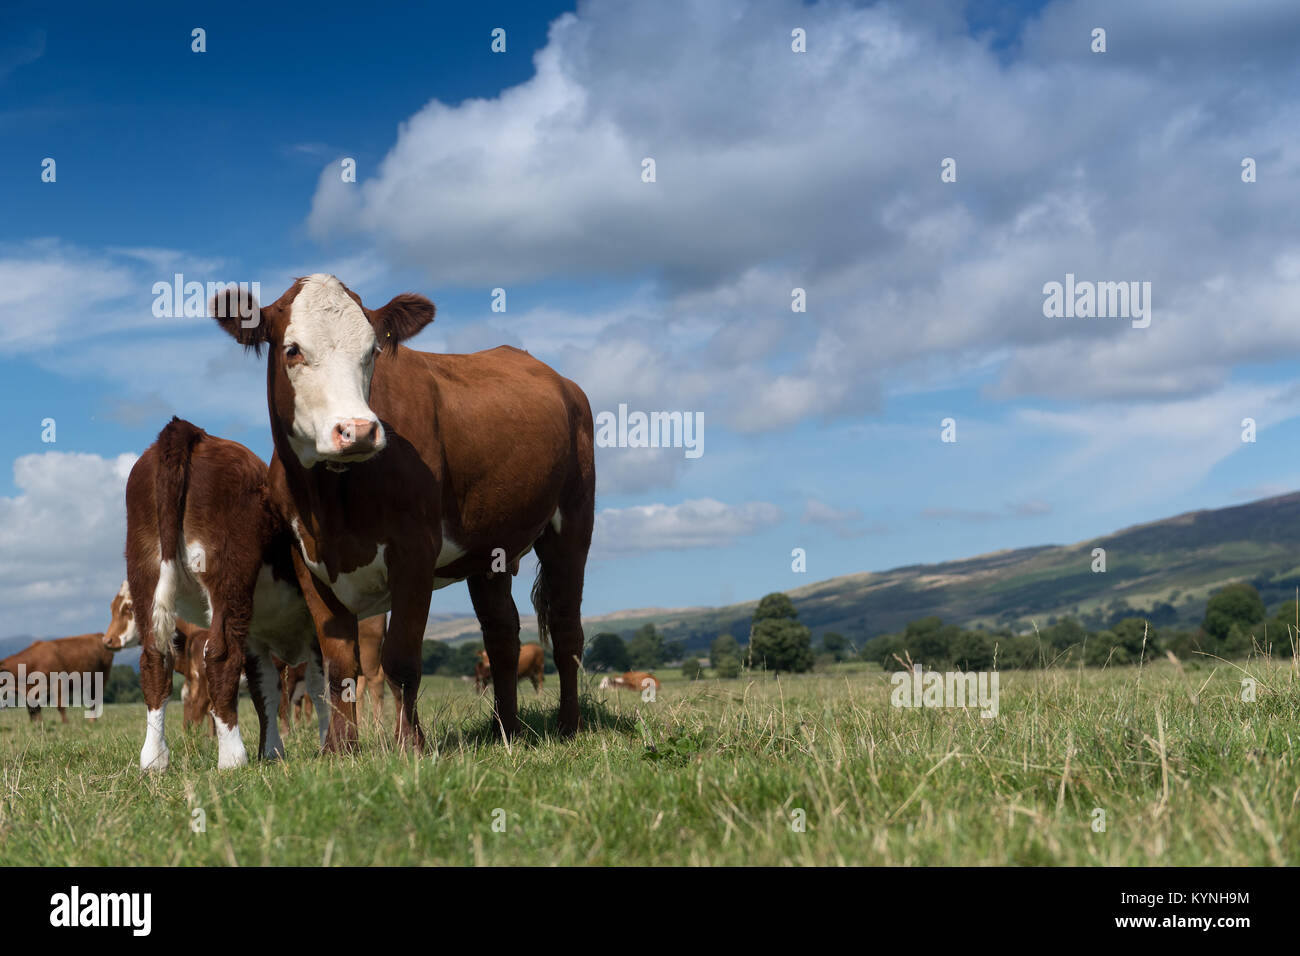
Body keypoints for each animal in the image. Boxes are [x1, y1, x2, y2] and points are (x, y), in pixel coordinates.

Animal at [124, 417, 324, 770]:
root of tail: (193, 432)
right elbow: (325, 683)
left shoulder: (259, 636)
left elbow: (266, 691)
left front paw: (272, 751)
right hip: (230, 578)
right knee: (220, 655)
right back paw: (232, 757)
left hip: (144, 572)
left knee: (154, 659)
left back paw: (154, 759)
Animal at [210, 275, 595, 752]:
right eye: (293, 350)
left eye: (372, 351)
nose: (357, 431)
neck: (331, 498)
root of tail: (560, 380)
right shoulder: (307, 560)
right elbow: (340, 664)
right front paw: (339, 749)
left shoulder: (414, 551)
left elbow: (402, 659)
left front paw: (410, 744)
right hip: (491, 550)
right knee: (502, 635)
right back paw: (505, 728)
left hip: (572, 522)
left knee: (566, 628)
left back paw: (569, 725)